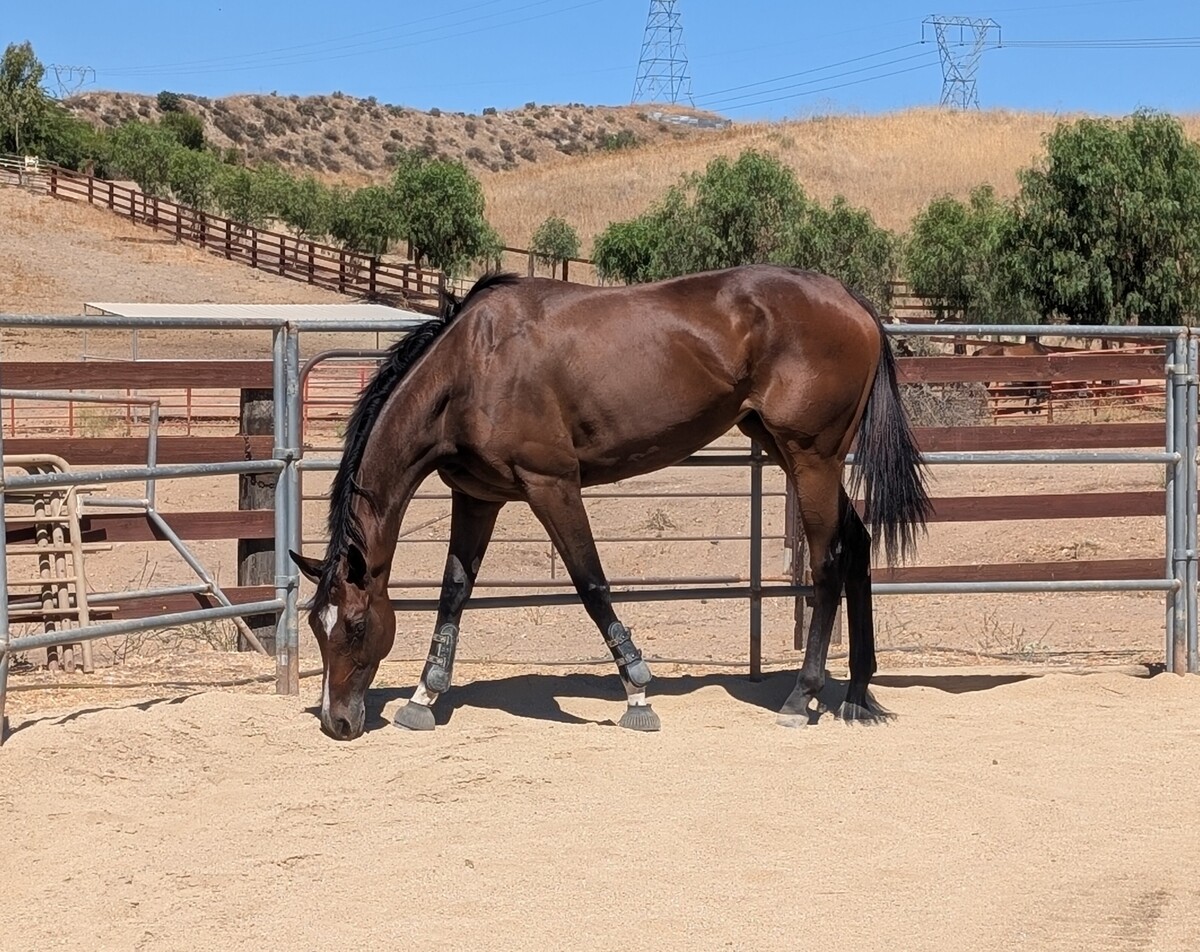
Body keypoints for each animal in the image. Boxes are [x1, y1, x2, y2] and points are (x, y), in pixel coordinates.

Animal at [290, 265, 930, 740]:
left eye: (353, 625)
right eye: (316, 626)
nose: (337, 722)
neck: (474, 365)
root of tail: (851, 300)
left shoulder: (552, 485)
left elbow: (590, 582)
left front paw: (638, 693)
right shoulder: (477, 498)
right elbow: (454, 594)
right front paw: (424, 695)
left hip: (810, 455)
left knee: (827, 562)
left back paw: (803, 696)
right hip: (790, 450)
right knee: (857, 545)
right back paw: (857, 693)